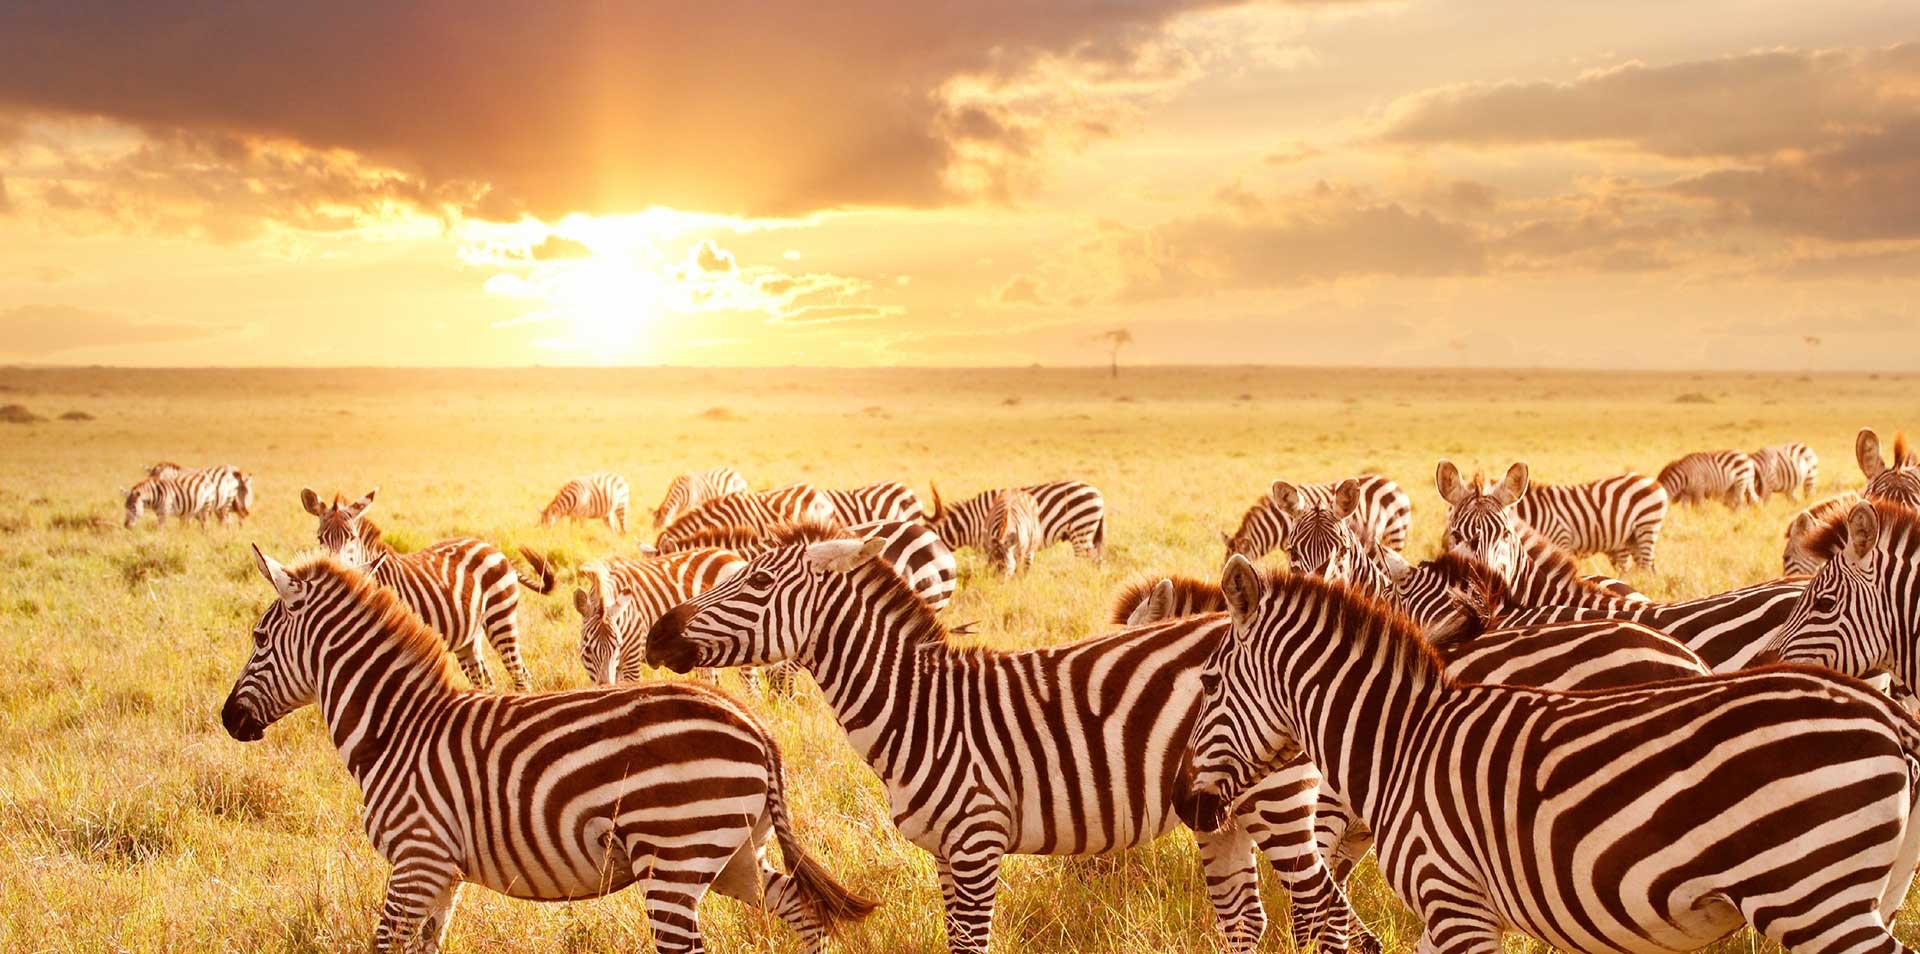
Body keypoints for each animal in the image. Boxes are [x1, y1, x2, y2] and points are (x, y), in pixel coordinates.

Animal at [300, 488, 554, 691]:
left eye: (351, 537)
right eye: (320, 538)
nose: (337, 569)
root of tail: (493, 549)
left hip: (501, 618)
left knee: (520, 674)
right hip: (469, 637)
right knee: (486, 680)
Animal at [1184, 556, 1920, 954]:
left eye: (1209, 683)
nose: (1188, 806)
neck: (1401, 741)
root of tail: (1887, 715)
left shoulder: (1453, 896)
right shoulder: (1451, 909)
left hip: (1812, 892)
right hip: (1860, 890)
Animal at [1510, 472, 1667, 570]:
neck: (1536, 512)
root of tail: (1651, 480)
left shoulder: (1561, 539)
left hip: (1647, 526)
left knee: (1646, 567)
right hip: (1632, 537)